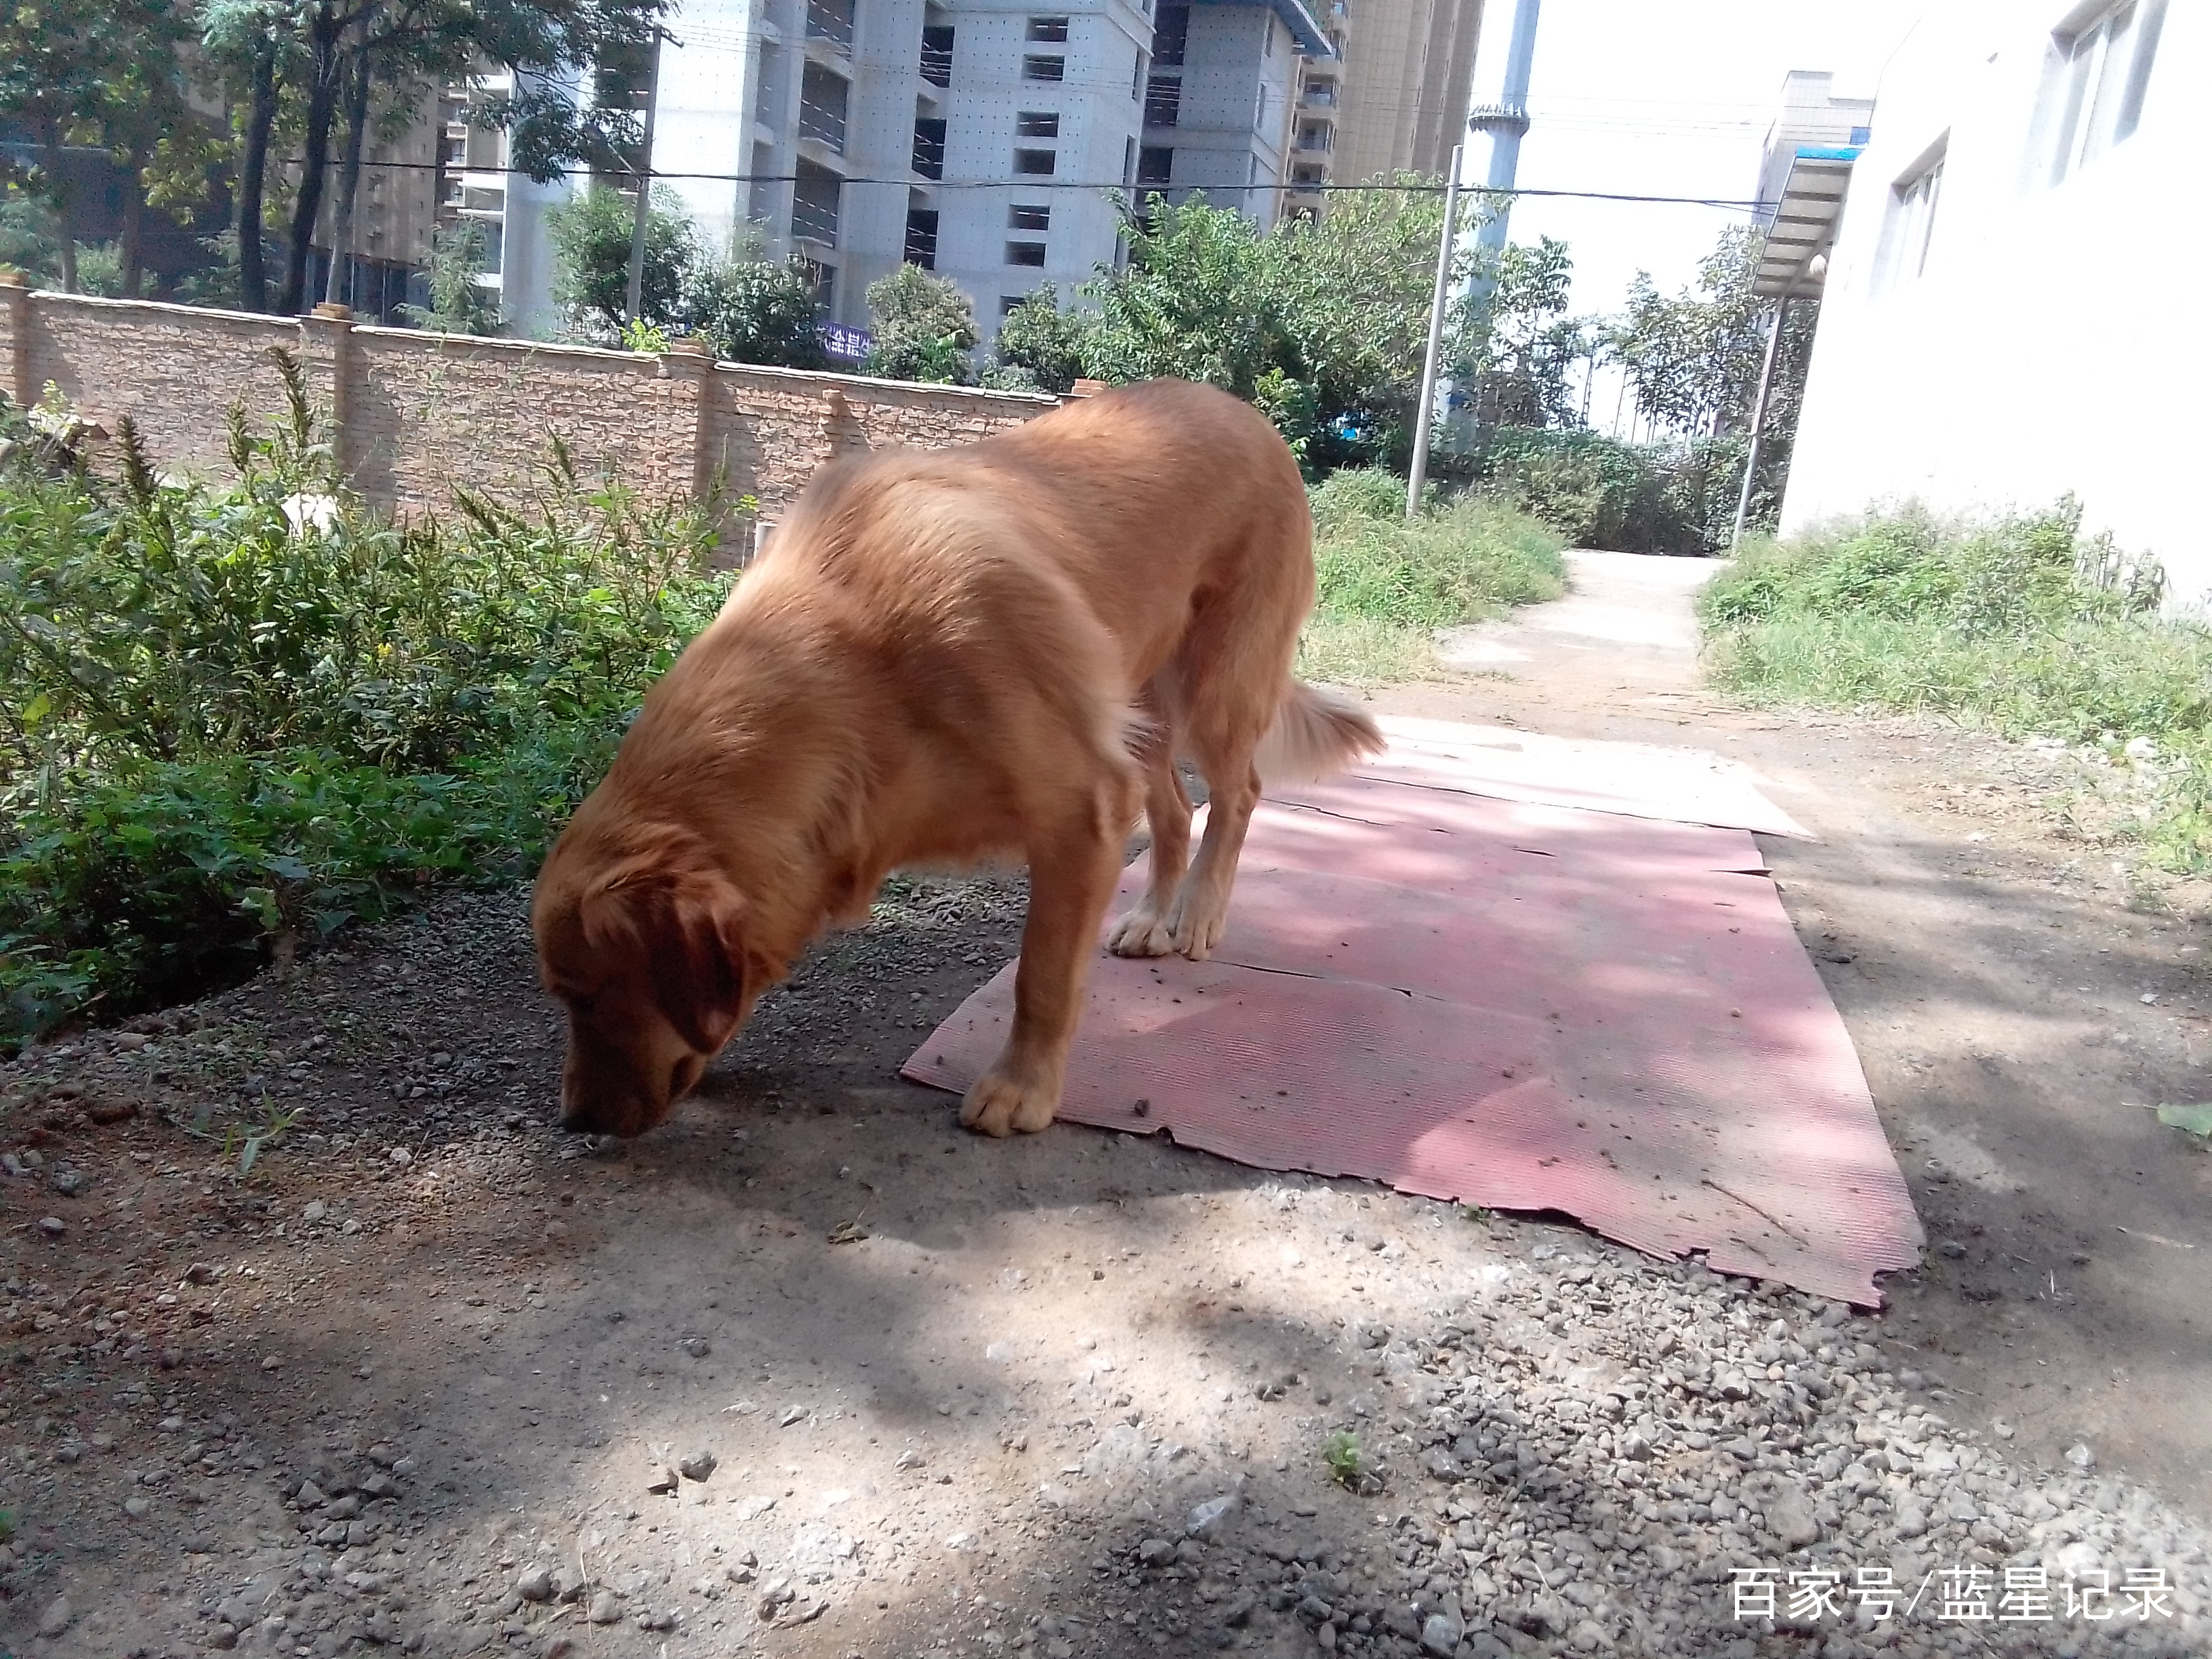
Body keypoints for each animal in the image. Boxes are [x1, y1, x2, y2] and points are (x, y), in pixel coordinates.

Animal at [529, 382, 1371, 1141]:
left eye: (587, 995)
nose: (576, 1122)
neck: (857, 655)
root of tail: (1244, 411)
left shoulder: (1084, 806)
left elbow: (1041, 976)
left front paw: (1020, 1088)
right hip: (1144, 712)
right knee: (1174, 807)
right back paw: (1150, 918)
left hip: (1217, 689)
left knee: (1238, 794)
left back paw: (1196, 915)